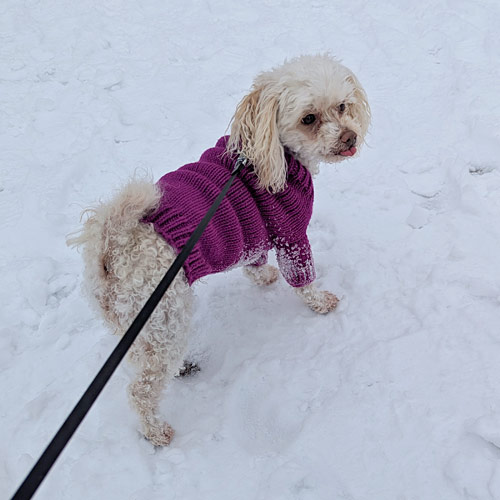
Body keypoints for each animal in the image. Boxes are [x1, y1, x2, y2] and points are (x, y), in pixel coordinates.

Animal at [67, 54, 372, 446]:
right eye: (309, 119)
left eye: (342, 106)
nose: (350, 137)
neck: (266, 152)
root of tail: (111, 249)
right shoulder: (290, 234)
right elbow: (302, 278)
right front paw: (319, 302)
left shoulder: (255, 234)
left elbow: (254, 262)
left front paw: (263, 277)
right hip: (165, 318)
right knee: (141, 388)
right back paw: (156, 431)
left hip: (133, 325)